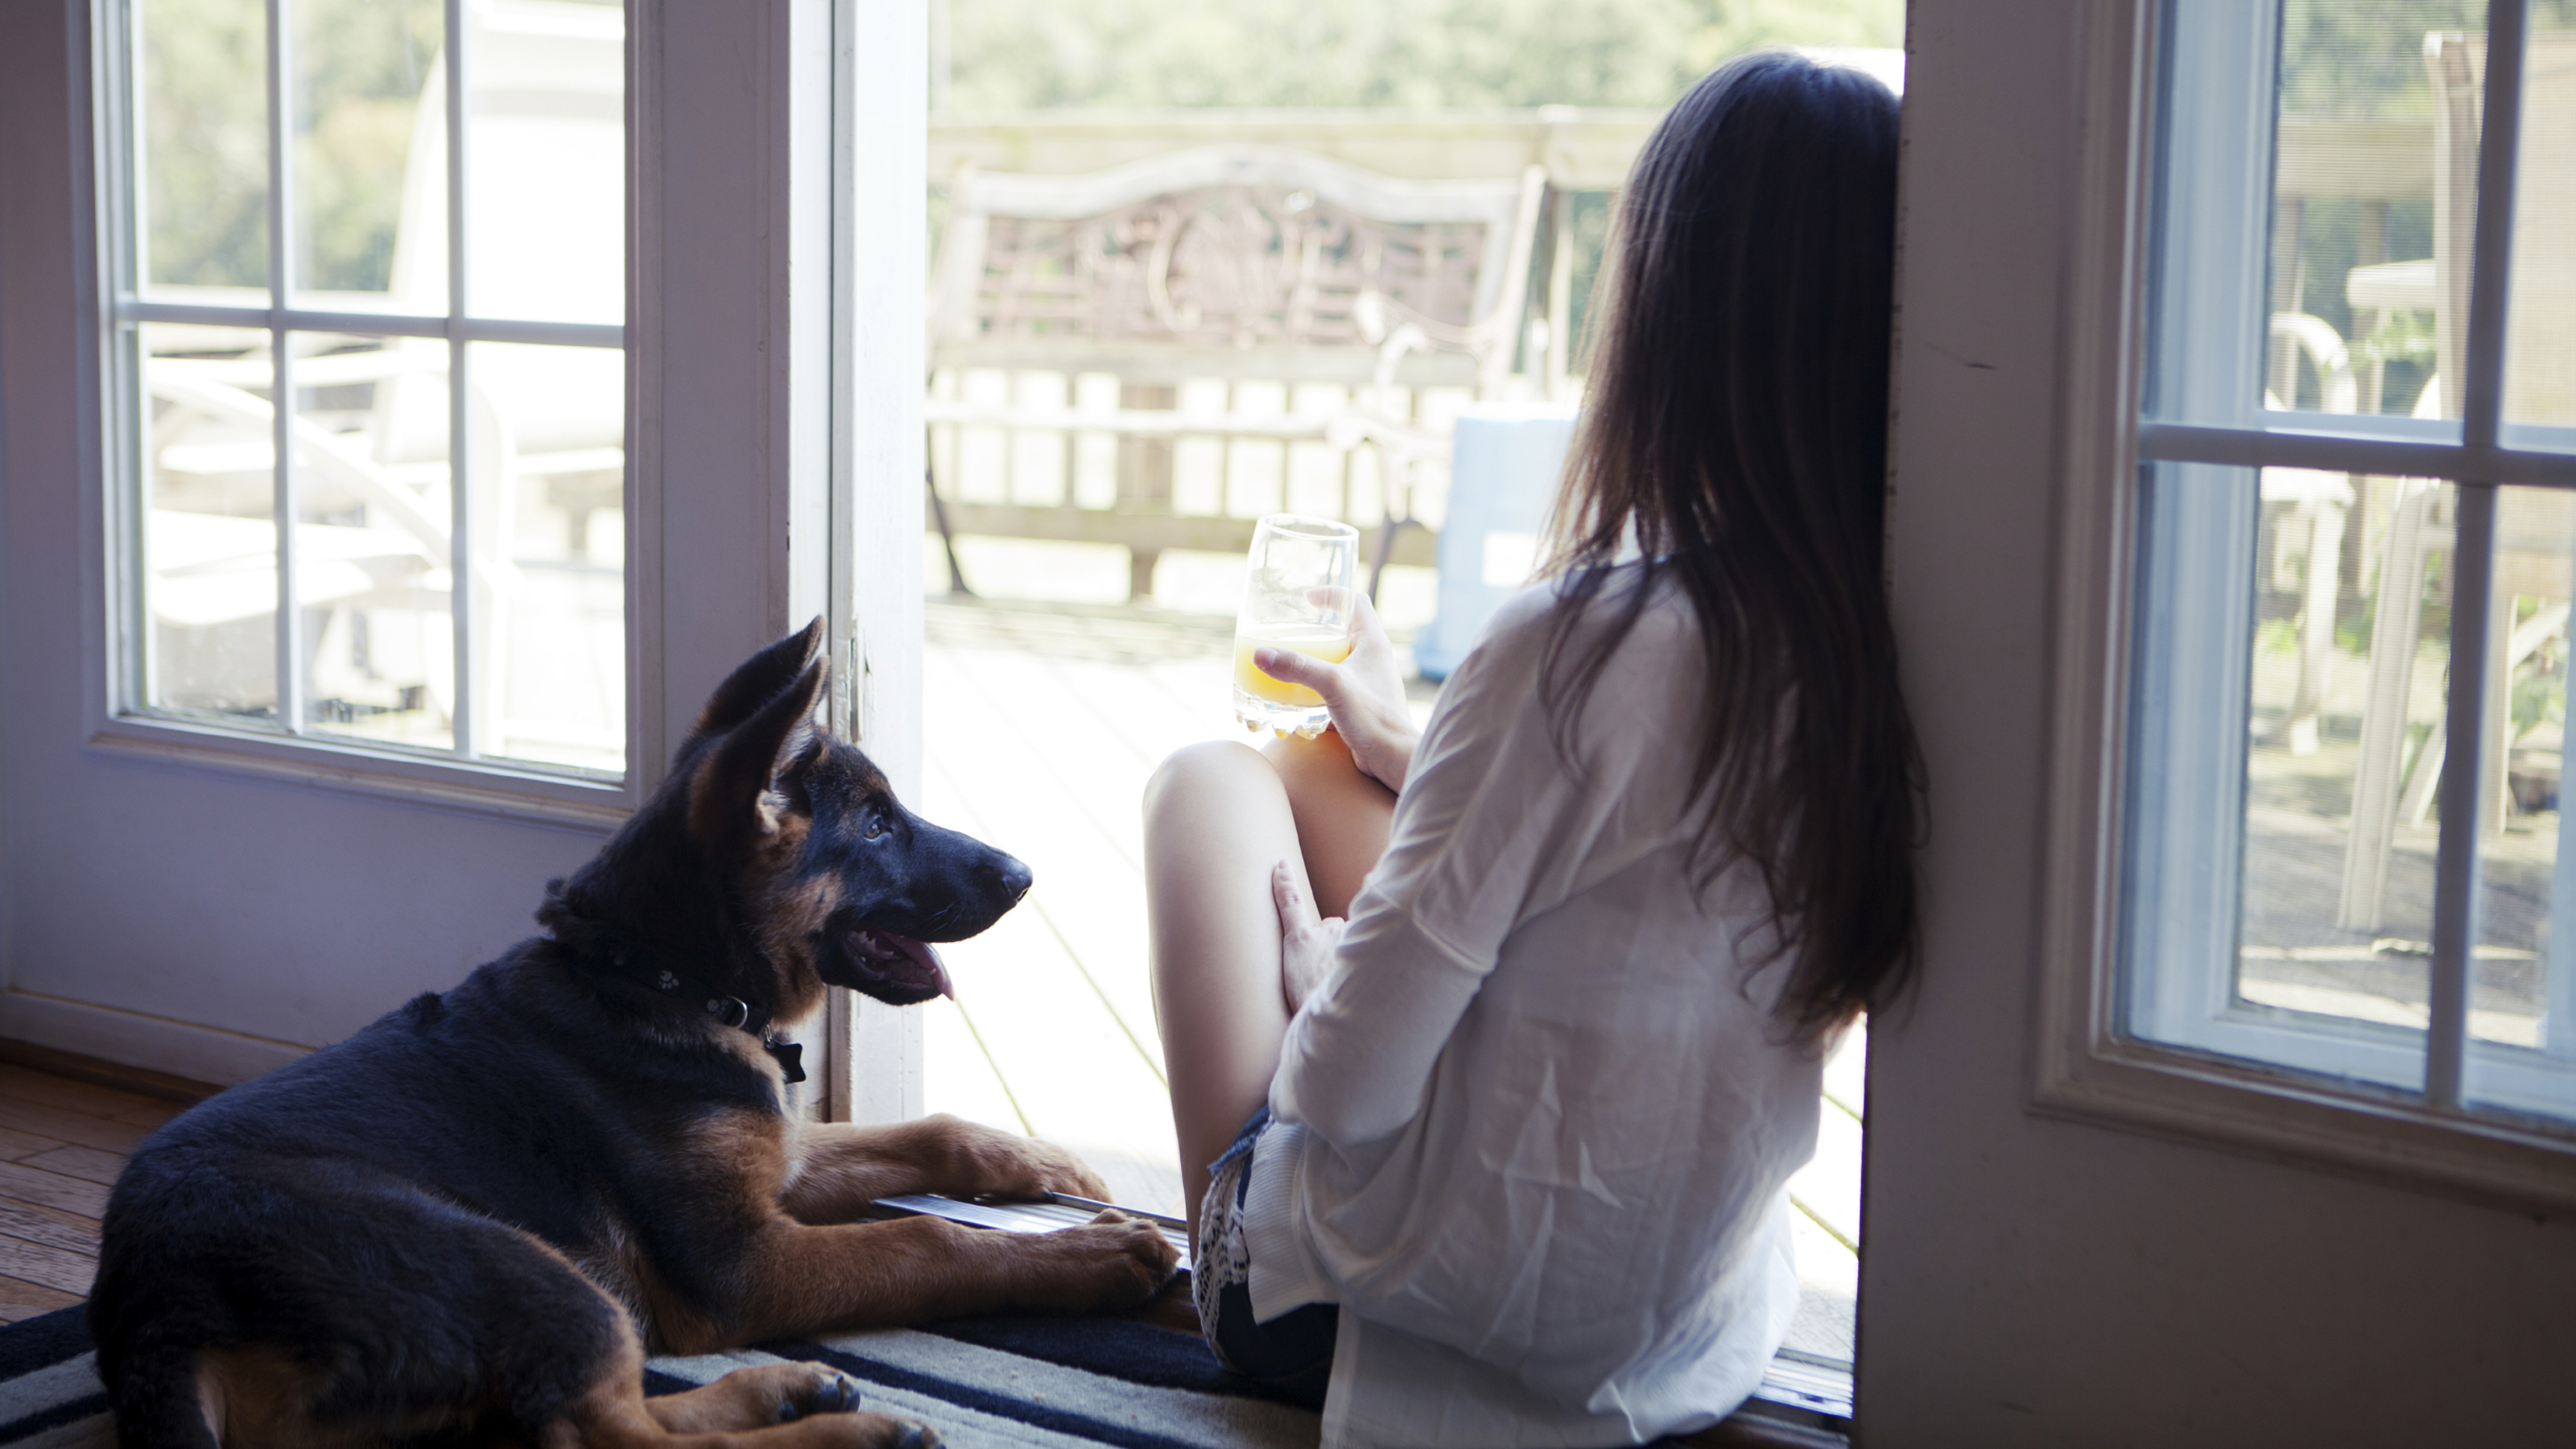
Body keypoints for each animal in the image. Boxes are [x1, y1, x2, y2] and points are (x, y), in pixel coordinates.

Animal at [88, 621, 1179, 1443]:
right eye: (874, 827)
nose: (1024, 876)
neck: (669, 981)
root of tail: (157, 1307)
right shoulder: (747, 1265)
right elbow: (928, 1241)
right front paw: (1094, 1255)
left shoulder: (778, 1161)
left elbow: (932, 1134)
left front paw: (1049, 1168)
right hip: (529, 1265)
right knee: (603, 1434)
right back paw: (846, 1427)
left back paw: (785, 1391)